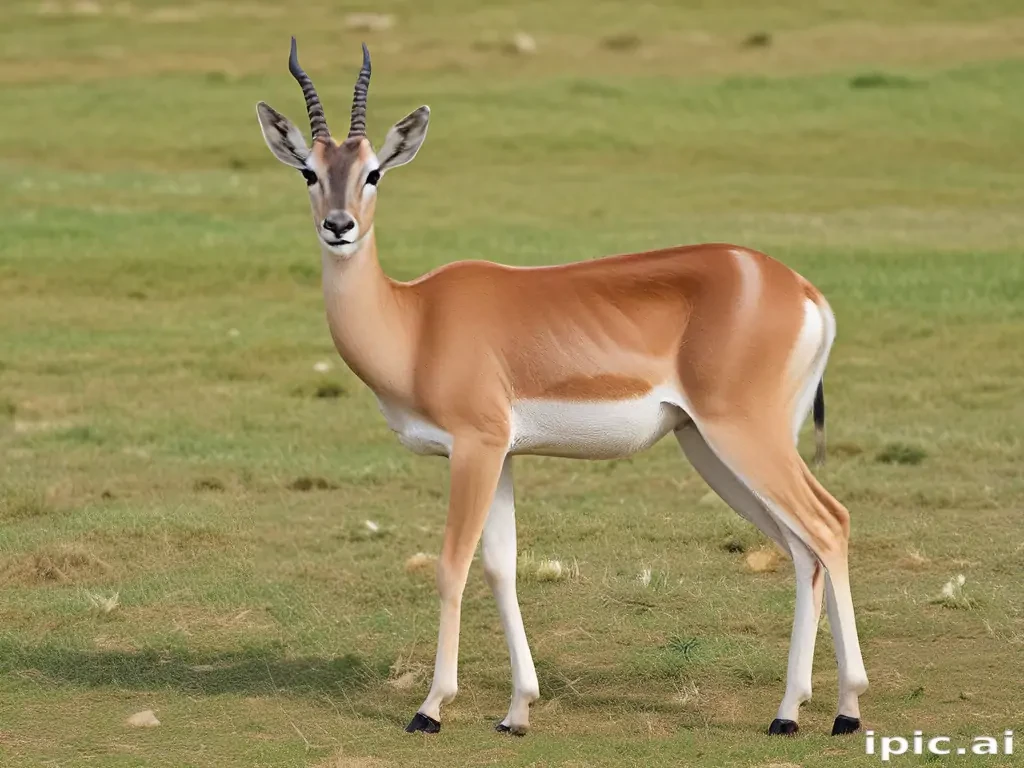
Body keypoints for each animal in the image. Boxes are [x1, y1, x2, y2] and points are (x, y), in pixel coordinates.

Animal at [255, 38, 868, 738]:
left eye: (374, 171)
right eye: (309, 172)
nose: (339, 226)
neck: (414, 321)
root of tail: (801, 289)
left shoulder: (475, 447)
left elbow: (451, 564)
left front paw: (431, 708)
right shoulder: (503, 456)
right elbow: (501, 566)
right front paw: (517, 710)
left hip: (744, 436)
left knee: (829, 524)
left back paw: (845, 709)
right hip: (712, 447)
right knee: (800, 548)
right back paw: (790, 712)